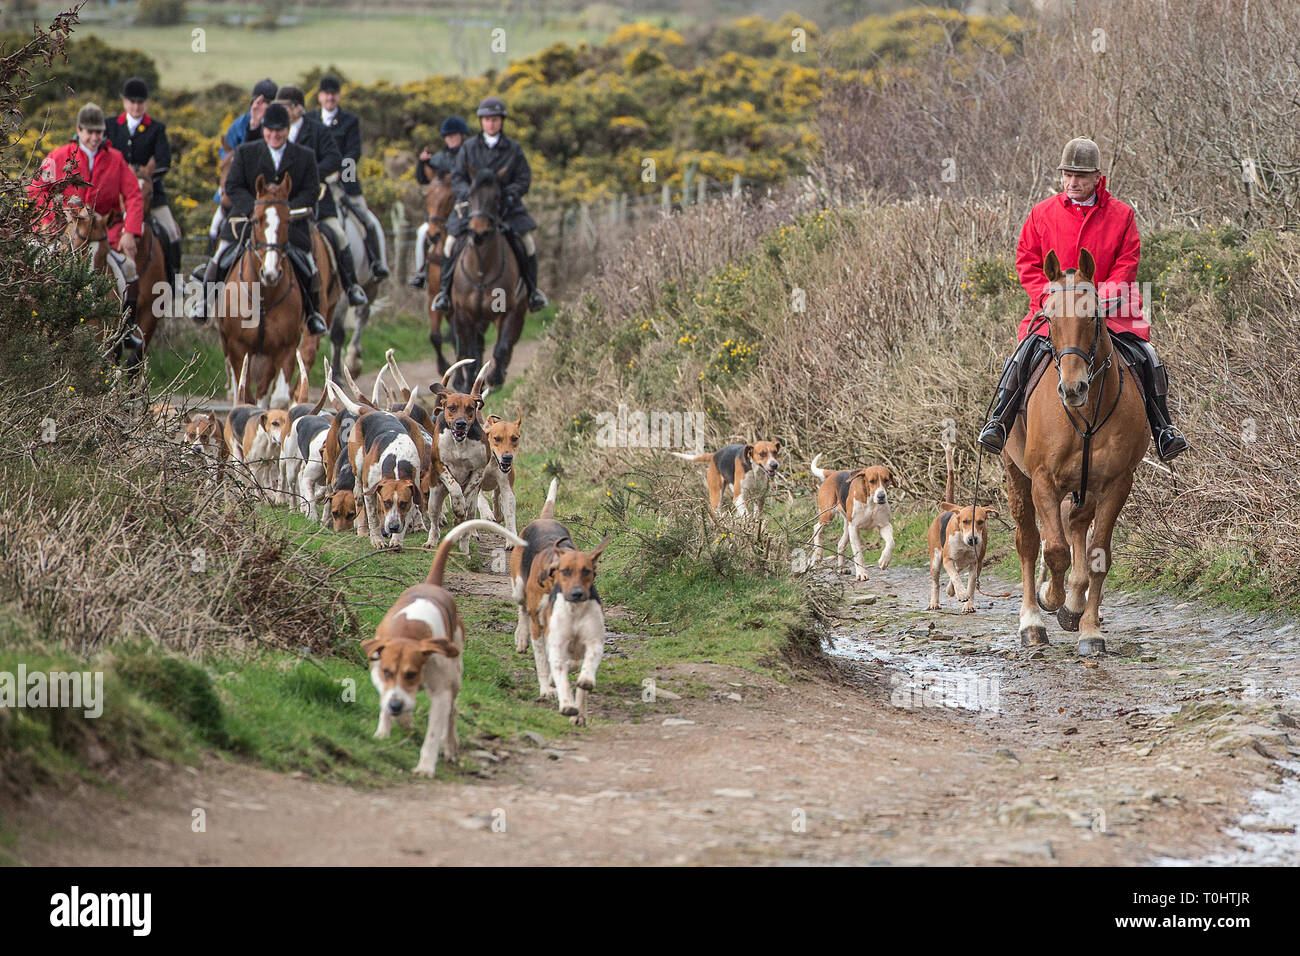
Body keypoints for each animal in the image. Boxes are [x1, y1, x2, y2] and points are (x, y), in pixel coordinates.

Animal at [217, 175, 302, 403]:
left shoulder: (286, 348)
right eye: (256, 220)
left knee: (264, 390)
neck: (265, 297)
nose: (270, 273)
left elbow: (278, 397)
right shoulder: (238, 349)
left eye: (289, 221)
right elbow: (244, 395)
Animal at [449, 170, 525, 395]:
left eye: (497, 197)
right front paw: (468, 384)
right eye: (470, 195)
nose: (478, 232)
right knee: (467, 349)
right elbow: (468, 352)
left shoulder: (509, 312)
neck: (482, 267)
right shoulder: (464, 314)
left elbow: (501, 348)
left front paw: (494, 378)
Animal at [1003, 248, 1149, 658]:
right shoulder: (1042, 480)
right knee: (1029, 541)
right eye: (1049, 317)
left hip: (1087, 487)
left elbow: (1098, 556)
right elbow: (1054, 550)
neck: (1084, 414)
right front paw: (1050, 599)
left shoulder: (1116, 483)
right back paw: (1032, 622)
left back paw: (1074, 602)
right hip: (1016, 475)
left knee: (1078, 527)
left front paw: (1088, 629)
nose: (1073, 388)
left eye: (1093, 316)